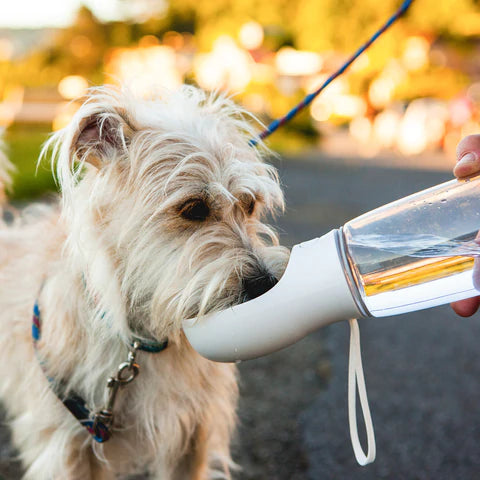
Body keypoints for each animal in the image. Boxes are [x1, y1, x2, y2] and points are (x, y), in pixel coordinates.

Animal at [0, 87, 288, 480]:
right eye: (194, 208)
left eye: (248, 205)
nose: (266, 283)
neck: (140, 339)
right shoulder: (66, 445)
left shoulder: (190, 435)